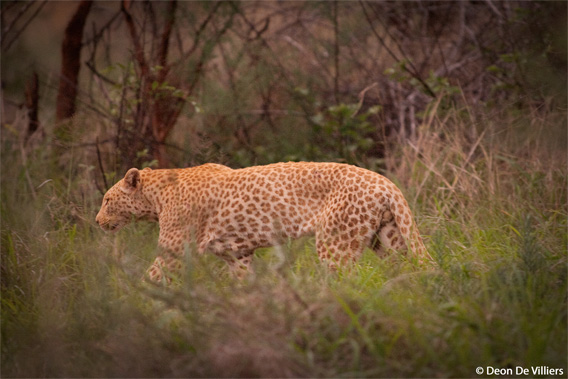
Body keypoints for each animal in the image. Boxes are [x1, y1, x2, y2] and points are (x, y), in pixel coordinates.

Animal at [95, 162, 430, 284]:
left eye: (107, 200)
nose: (97, 221)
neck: (156, 195)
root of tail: (386, 182)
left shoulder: (174, 251)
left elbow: (152, 276)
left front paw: (133, 303)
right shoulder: (237, 254)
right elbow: (243, 282)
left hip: (336, 244)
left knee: (346, 280)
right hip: (389, 238)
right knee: (406, 268)